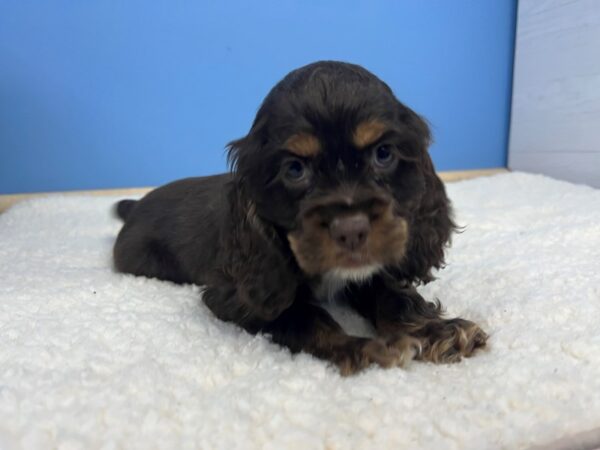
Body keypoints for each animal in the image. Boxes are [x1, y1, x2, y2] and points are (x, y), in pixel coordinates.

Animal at [112, 60, 488, 376]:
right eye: (295, 170)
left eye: (383, 154)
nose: (351, 231)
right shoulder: (236, 294)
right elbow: (302, 316)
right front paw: (364, 348)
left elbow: (389, 294)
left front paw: (439, 331)